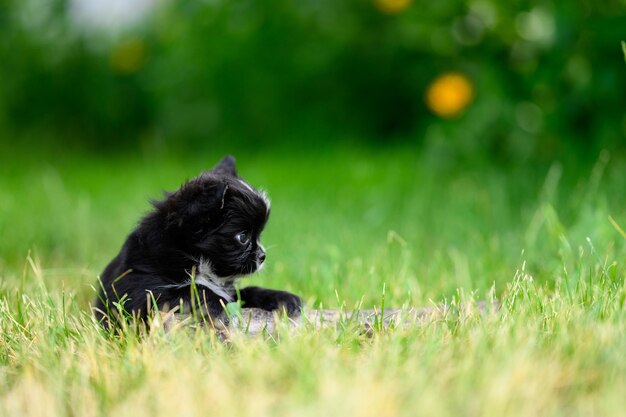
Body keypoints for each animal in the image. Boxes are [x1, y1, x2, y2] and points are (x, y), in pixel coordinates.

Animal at [91, 154, 302, 326]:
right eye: (243, 237)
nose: (262, 256)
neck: (194, 259)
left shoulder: (231, 290)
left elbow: (245, 292)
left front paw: (281, 298)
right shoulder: (139, 292)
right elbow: (191, 290)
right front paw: (217, 304)